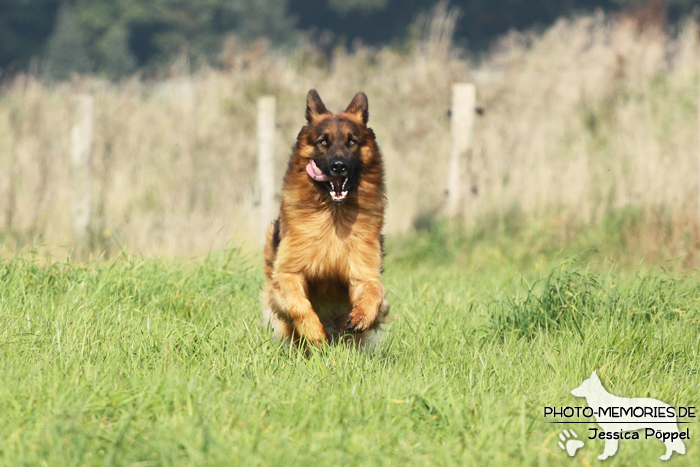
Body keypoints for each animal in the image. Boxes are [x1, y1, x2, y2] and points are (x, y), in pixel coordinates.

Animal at [262, 89, 392, 350]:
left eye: (352, 142)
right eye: (324, 142)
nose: (338, 166)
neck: (333, 217)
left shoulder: (364, 271)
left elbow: (374, 292)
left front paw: (363, 315)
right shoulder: (288, 273)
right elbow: (299, 304)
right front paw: (314, 332)